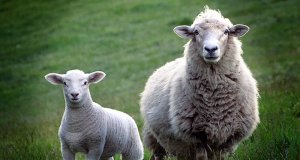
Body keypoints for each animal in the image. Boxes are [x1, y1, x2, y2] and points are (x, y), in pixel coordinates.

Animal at [141, 6, 260, 160]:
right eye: (196, 32)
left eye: (226, 31)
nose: (210, 49)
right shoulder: (195, 136)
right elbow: (201, 156)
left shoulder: (229, 136)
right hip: (155, 140)